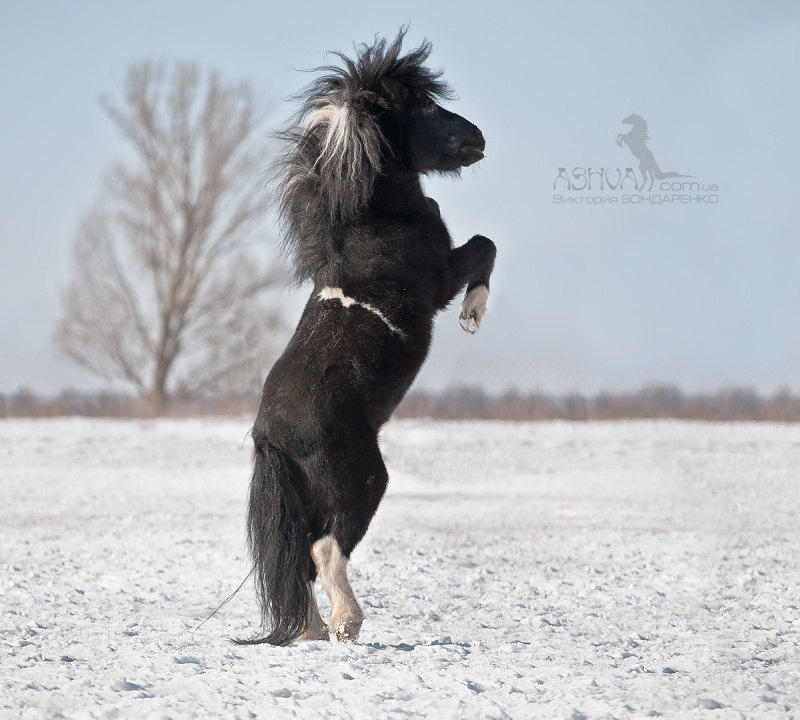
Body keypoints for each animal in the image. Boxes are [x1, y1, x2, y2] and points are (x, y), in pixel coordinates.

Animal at [241, 31, 496, 644]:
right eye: (424, 107)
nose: (478, 137)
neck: (371, 221)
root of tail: (270, 435)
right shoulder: (439, 279)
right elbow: (485, 246)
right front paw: (473, 314)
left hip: (310, 497)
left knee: (301, 563)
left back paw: (311, 628)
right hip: (362, 479)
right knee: (326, 549)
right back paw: (346, 624)